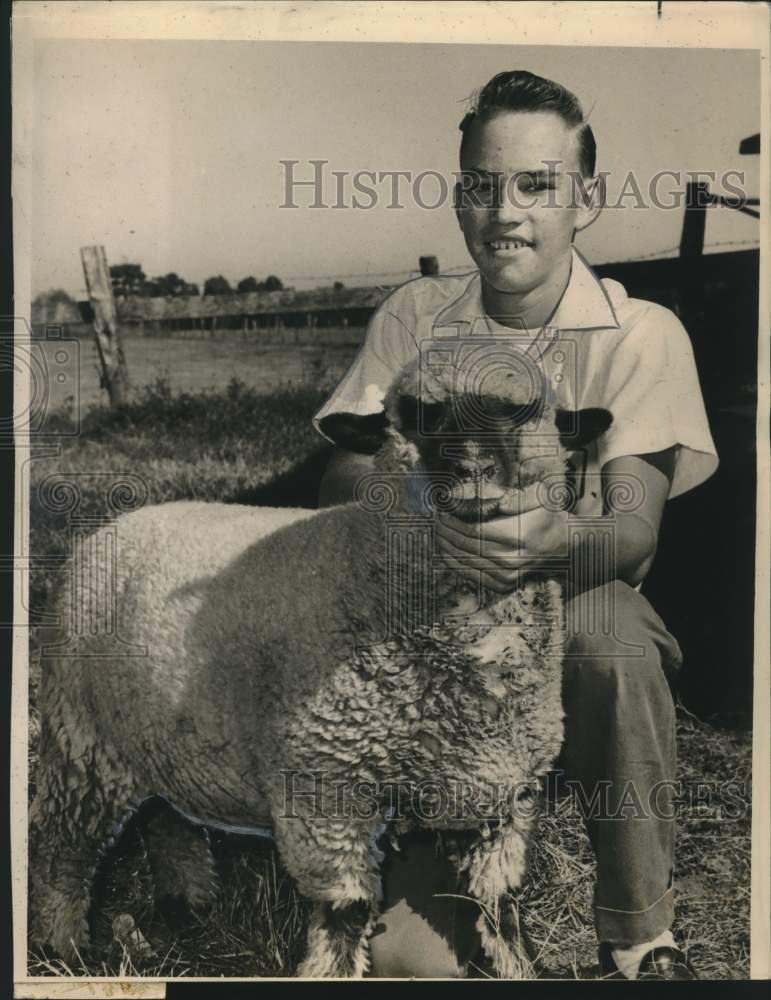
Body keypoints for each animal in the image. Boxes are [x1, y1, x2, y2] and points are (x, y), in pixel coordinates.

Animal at [28, 352, 608, 976]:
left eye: (522, 409)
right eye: (416, 413)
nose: (474, 470)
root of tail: (116, 525)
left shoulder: (505, 794)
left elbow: (501, 906)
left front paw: (518, 968)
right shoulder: (325, 789)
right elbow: (345, 918)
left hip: (160, 733)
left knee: (167, 816)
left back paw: (187, 905)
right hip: (81, 740)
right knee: (60, 850)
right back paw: (64, 947)